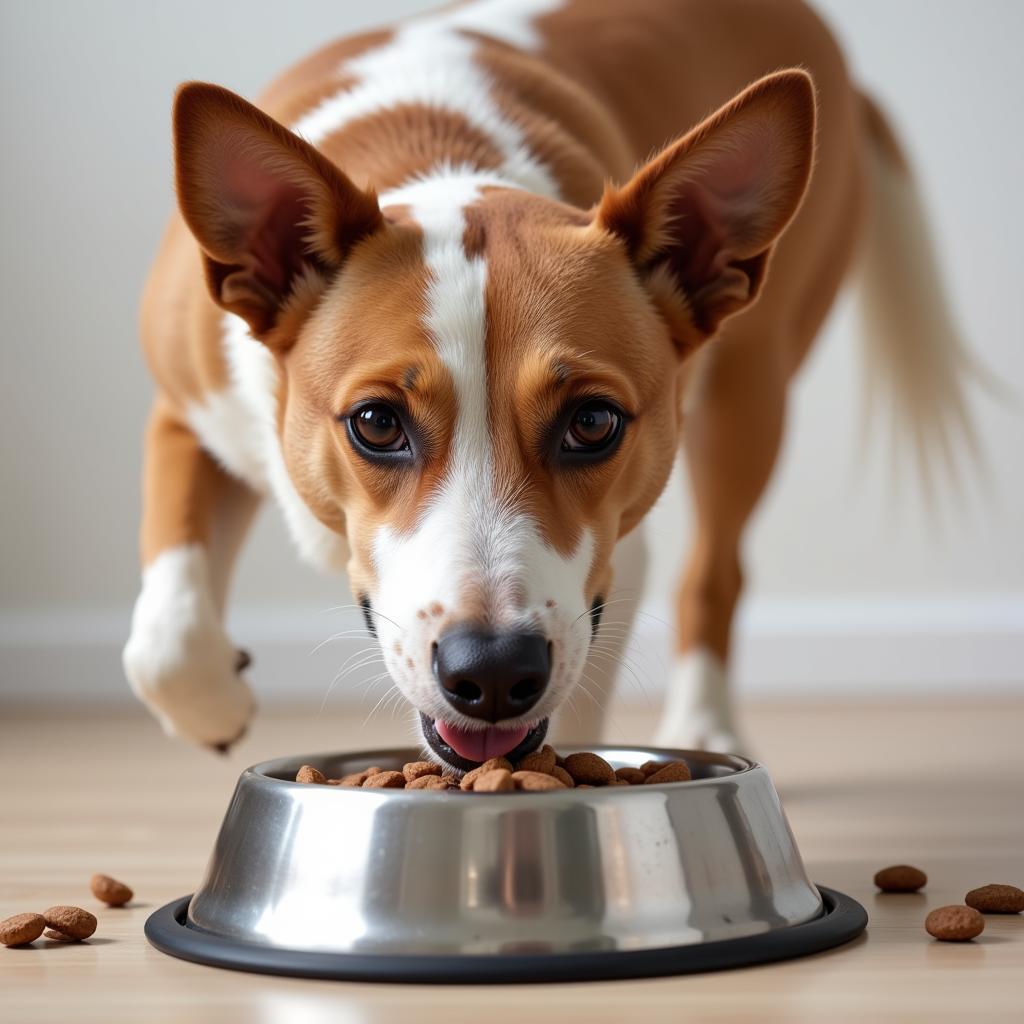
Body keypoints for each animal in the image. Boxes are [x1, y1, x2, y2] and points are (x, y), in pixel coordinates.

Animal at [125, 0, 974, 770]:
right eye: (375, 423)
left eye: (593, 423)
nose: (494, 672)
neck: (444, 160)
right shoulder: (187, 415)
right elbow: (164, 641)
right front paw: (214, 708)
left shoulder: (616, 561)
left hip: (749, 400)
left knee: (715, 574)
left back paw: (705, 726)